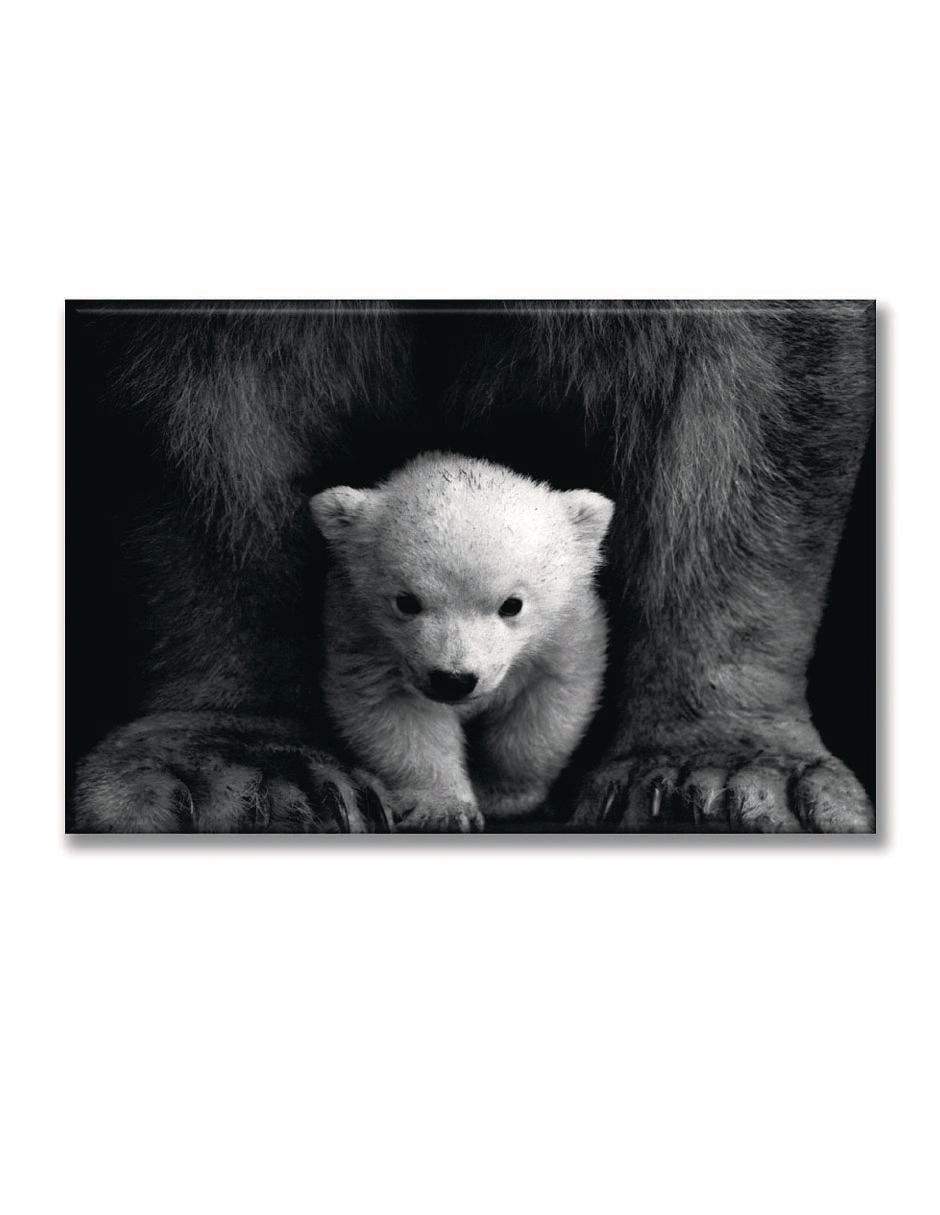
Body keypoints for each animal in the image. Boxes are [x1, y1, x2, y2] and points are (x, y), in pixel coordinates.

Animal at [310, 453, 614, 832]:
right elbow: (397, 714)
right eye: (406, 602)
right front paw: (444, 810)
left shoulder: (564, 634)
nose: (454, 680)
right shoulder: (364, 638)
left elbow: (544, 707)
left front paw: (503, 796)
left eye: (512, 604)